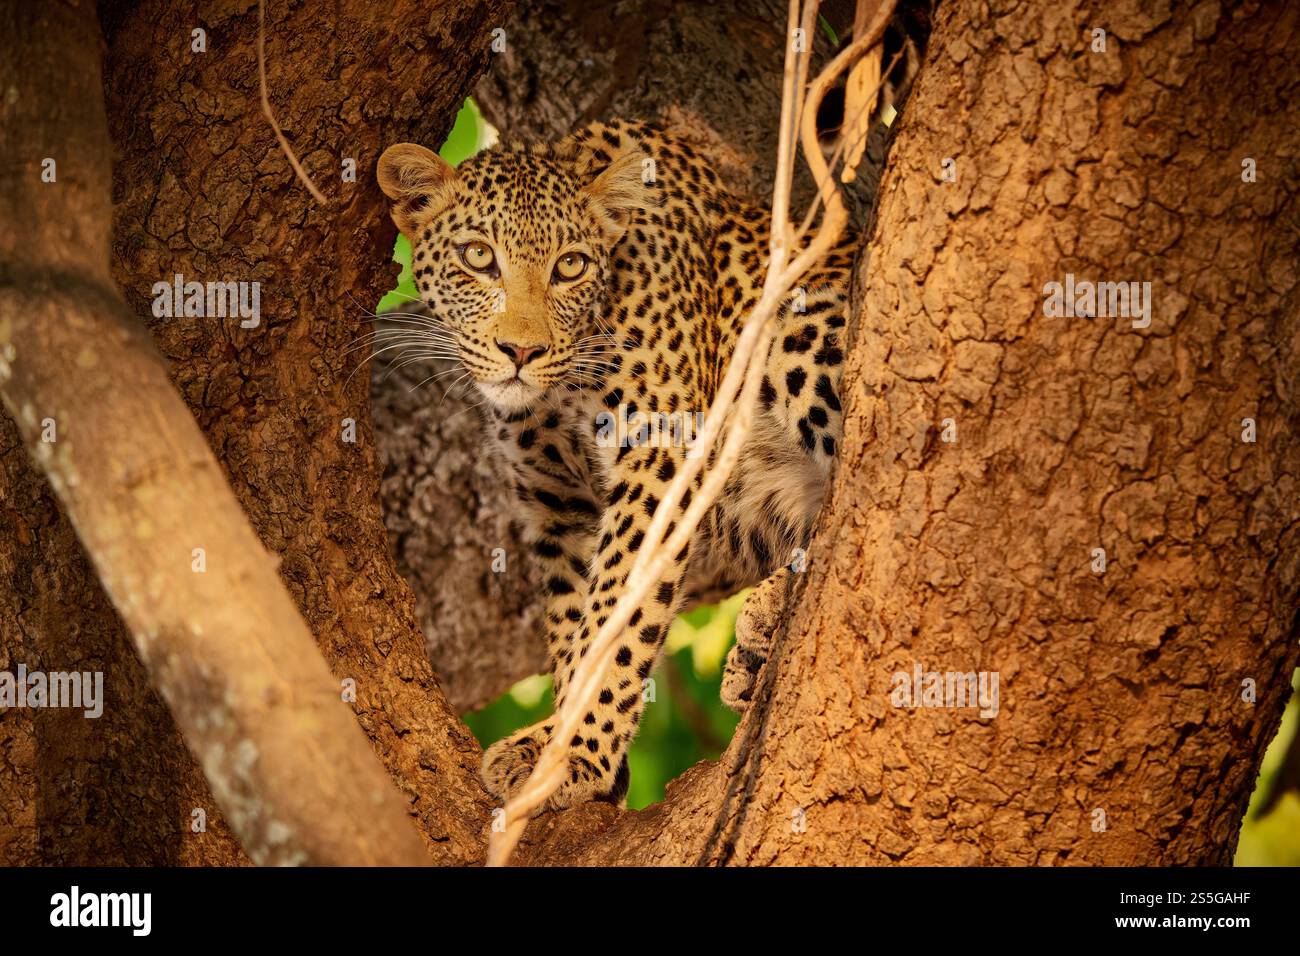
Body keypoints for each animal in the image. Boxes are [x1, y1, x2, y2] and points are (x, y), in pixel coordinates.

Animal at [377, 115, 852, 811]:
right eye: (478, 258)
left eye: (570, 266)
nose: (521, 351)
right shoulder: (558, 503)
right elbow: (575, 617)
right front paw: (577, 753)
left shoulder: (660, 455)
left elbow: (619, 618)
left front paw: (574, 752)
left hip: (803, 326)